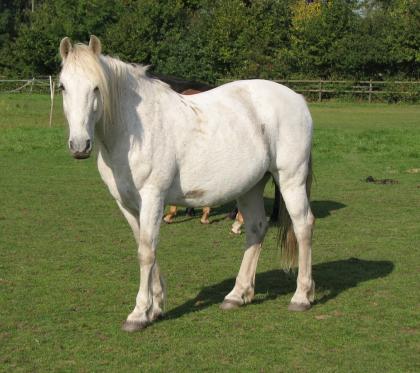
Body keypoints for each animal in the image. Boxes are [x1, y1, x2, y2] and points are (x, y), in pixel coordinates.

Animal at [59, 36, 316, 330]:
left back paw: (301, 297)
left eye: (96, 87)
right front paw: (156, 306)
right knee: (255, 229)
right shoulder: (126, 203)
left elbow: (146, 251)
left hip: (290, 179)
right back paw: (237, 295)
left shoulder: (153, 197)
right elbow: (145, 246)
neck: (133, 129)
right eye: (63, 86)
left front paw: (139, 313)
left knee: (303, 226)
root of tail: (297, 99)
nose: (80, 145)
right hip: (251, 187)